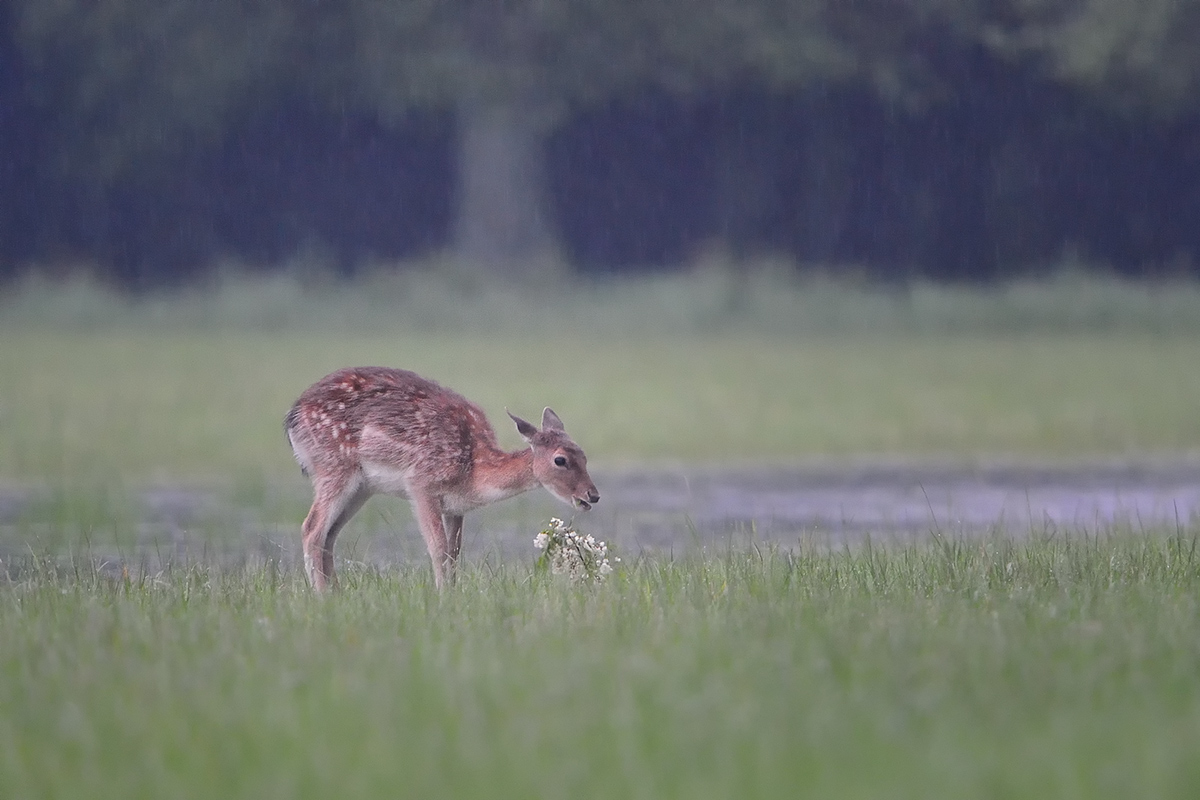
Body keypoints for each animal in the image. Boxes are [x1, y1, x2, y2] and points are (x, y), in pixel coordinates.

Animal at [282, 367, 600, 587]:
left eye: (585, 455)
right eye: (560, 460)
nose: (592, 495)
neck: (474, 472)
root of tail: (292, 418)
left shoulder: (455, 506)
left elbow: (454, 552)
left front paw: (453, 594)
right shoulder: (421, 483)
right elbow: (437, 548)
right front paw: (442, 596)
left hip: (361, 488)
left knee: (329, 534)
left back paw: (336, 593)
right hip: (334, 467)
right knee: (312, 528)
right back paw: (322, 596)